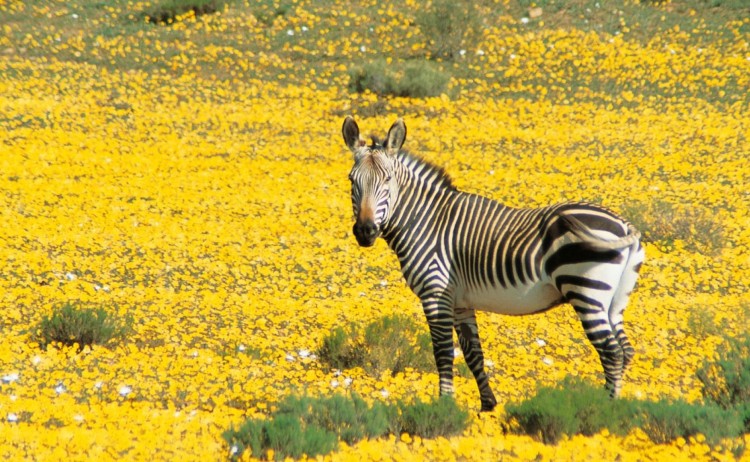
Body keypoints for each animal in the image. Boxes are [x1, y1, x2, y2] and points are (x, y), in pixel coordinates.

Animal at [341, 116, 644, 411]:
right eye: (352, 180)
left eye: (387, 179)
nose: (365, 231)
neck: (425, 220)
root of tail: (624, 224)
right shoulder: (460, 301)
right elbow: (473, 353)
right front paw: (488, 407)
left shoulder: (436, 293)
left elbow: (442, 352)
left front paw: (445, 407)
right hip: (614, 301)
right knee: (625, 350)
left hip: (587, 291)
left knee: (611, 352)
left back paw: (607, 410)